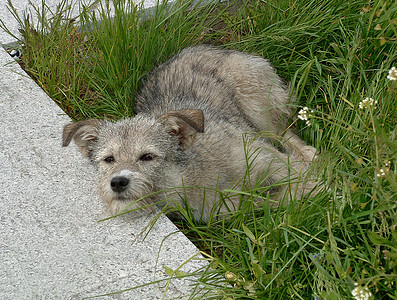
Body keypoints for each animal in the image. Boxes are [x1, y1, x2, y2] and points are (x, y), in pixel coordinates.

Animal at [62, 44, 318, 220]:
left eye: (147, 157)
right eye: (109, 159)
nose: (117, 182)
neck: (195, 176)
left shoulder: (273, 162)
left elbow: (309, 184)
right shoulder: (229, 210)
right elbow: (278, 200)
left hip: (254, 100)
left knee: (283, 131)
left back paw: (307, 153)